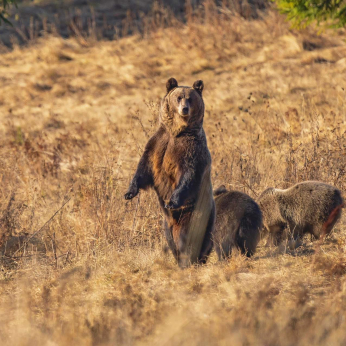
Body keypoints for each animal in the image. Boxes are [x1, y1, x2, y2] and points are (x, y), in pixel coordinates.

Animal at [124, 77, 216, 268]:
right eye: (179, 97)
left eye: (190, 98)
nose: (185, 109)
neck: (177, 131)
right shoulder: (158, 144)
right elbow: (143, 169)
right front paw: (130, 192)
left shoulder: (191, 149)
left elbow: (188, 174)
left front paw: (172, 201)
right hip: (167, 224)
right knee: (171, 240)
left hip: (194, 214)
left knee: (188, 238)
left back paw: (190, 260)